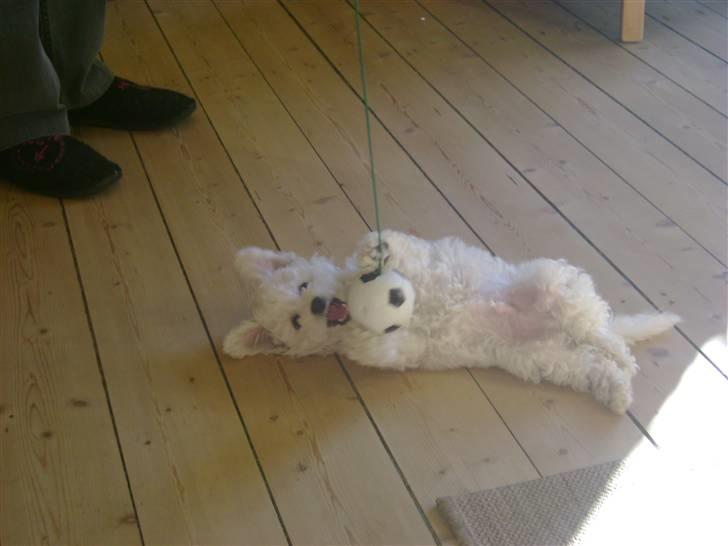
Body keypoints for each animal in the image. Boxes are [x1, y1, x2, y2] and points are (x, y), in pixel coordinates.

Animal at [225, 227, 680, 410]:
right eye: (296, 322)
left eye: (304, 285)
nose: (319, 306)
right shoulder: (402, 350)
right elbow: (378, 345)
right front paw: (364, 332)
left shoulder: (421, 260)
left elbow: (401, 252)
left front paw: (376, 252)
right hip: (547, 358)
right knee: (592, 363)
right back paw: (617, 392)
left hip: (551, 284)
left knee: (597, 330)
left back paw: (618, 352)